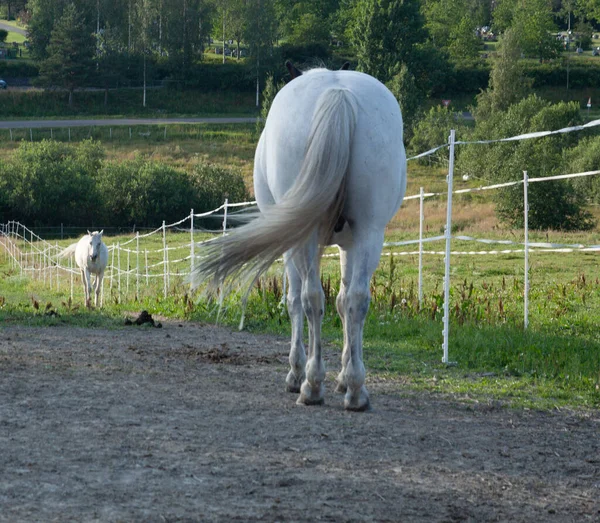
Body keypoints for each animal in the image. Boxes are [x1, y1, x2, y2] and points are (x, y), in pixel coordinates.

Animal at [192, 63, 408, 412]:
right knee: (356, 299)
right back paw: (356, 391)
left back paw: (311, 384)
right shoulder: (350, 243)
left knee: (310, 298)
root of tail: (338, 92)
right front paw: (343, 377)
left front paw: (297, 373)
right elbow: (343, 301)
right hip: (370, 232)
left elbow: (294, 301)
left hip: (303, 241)